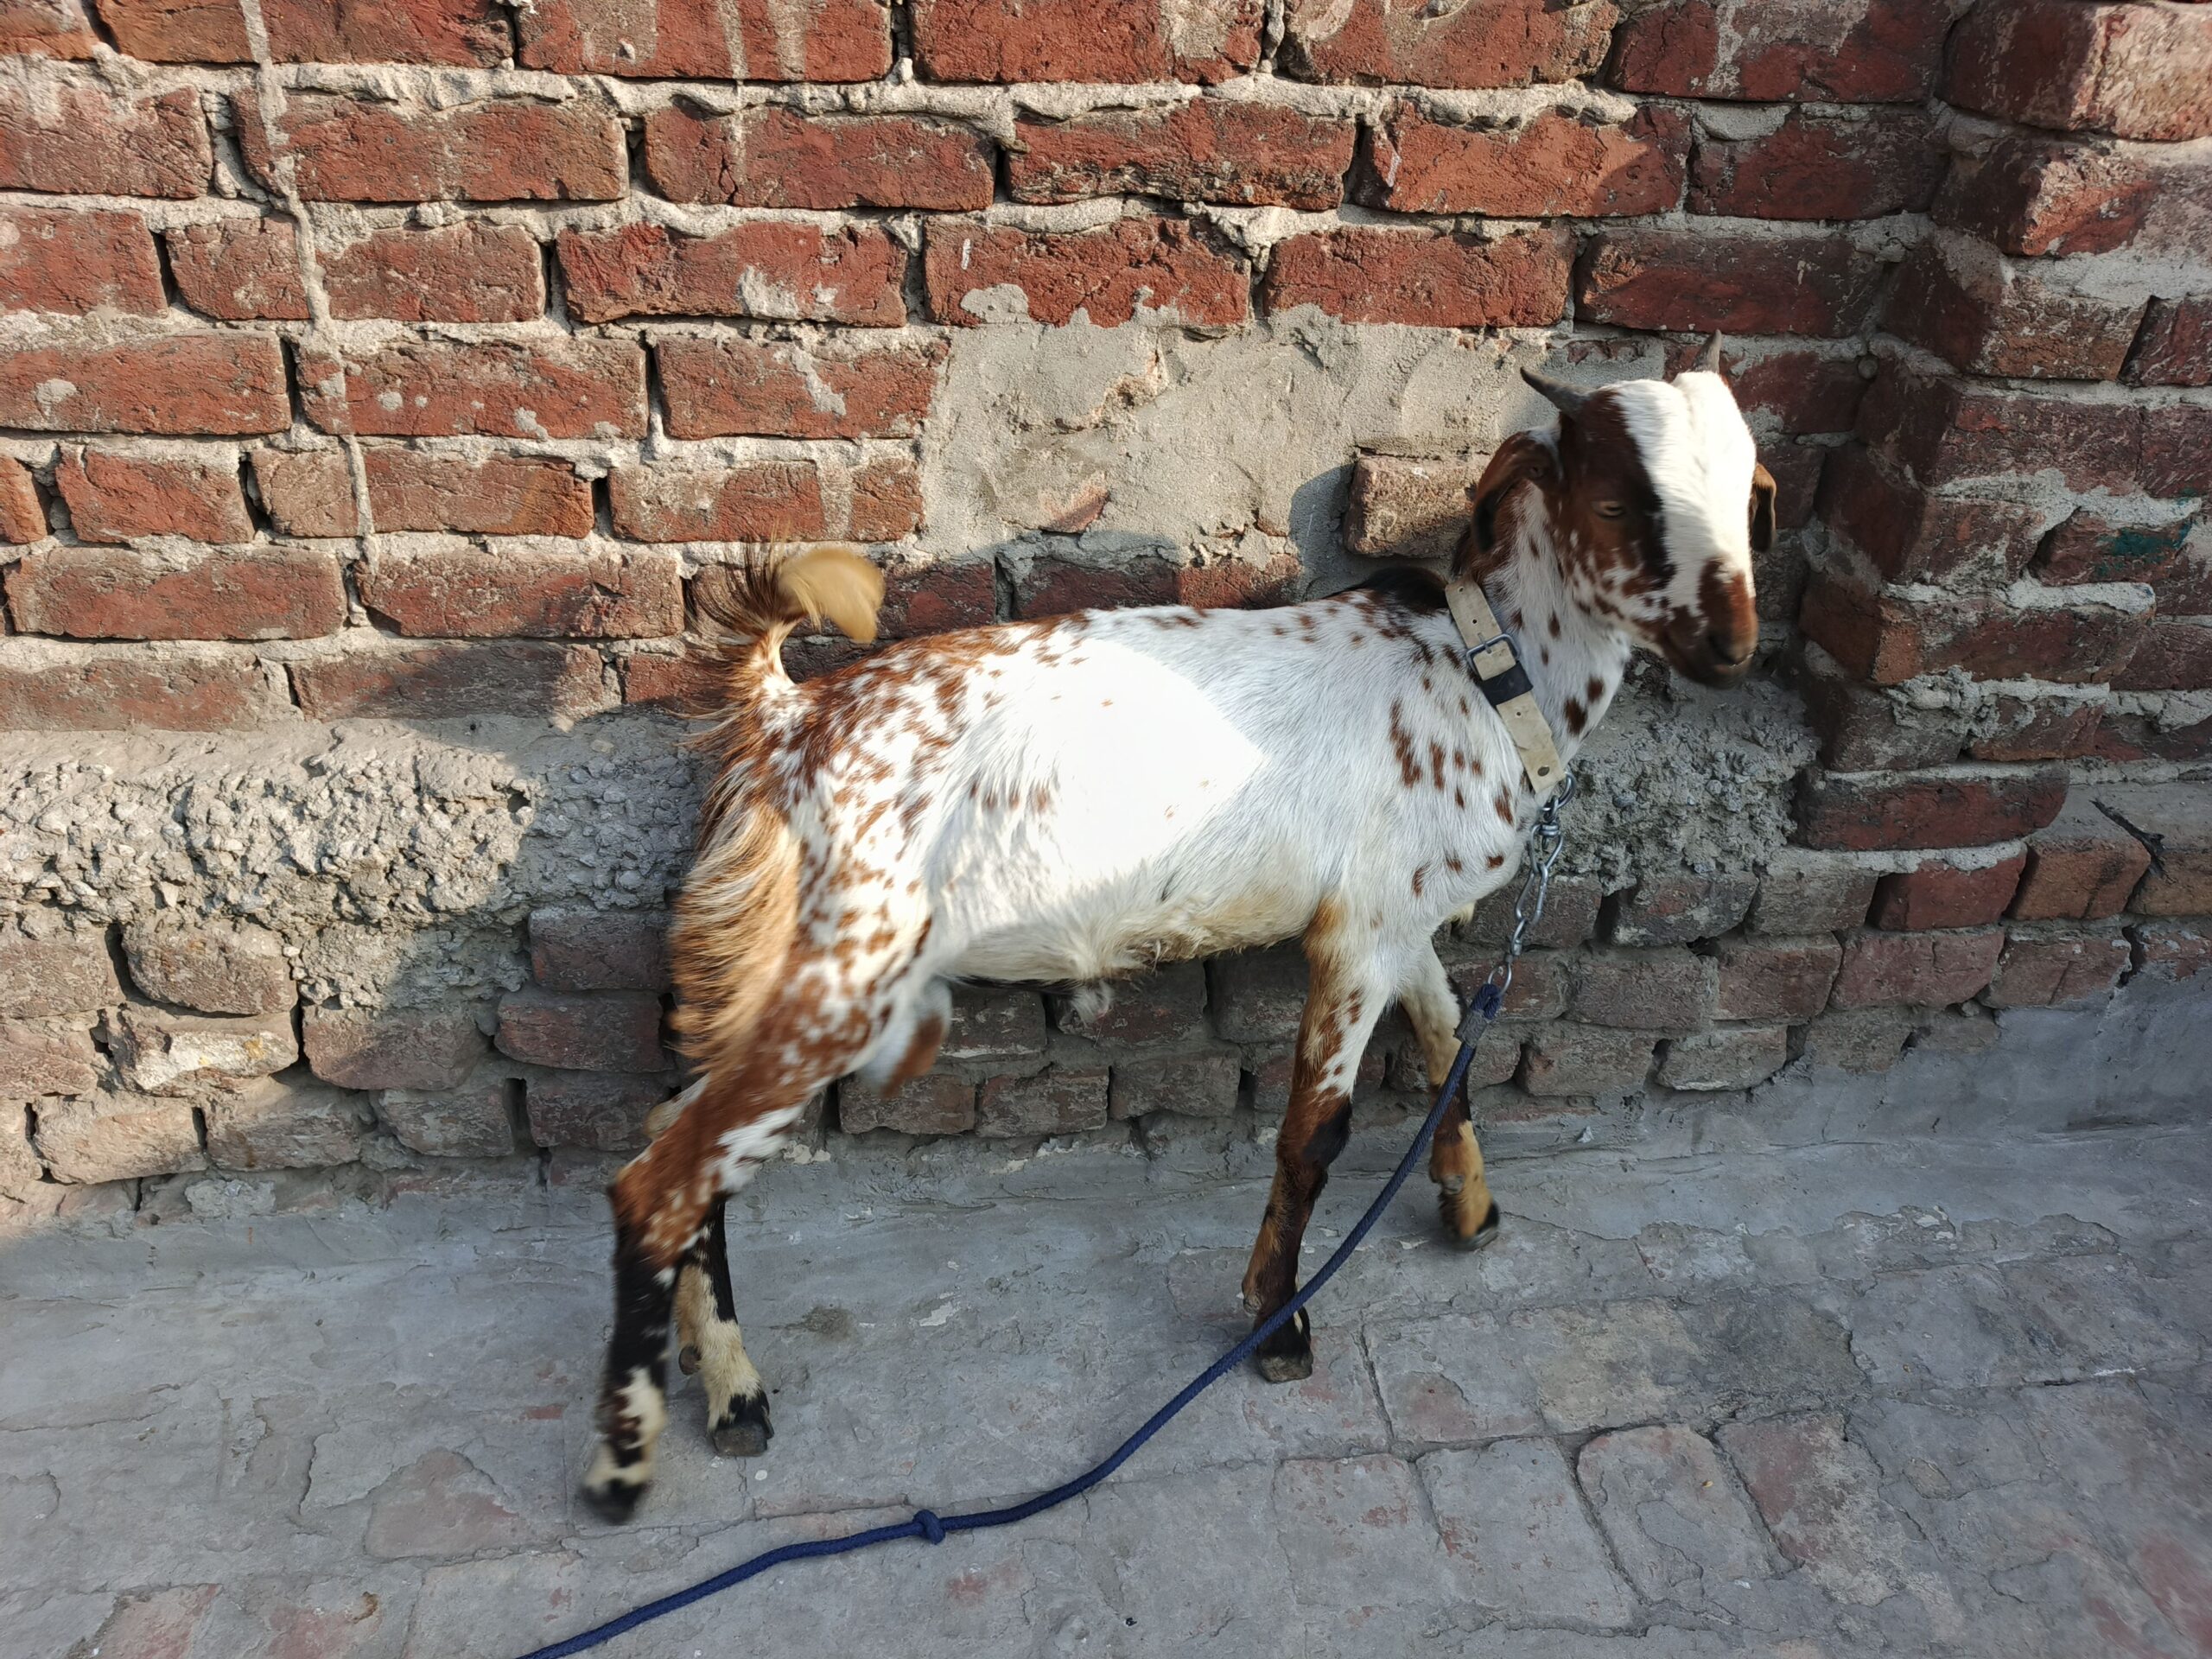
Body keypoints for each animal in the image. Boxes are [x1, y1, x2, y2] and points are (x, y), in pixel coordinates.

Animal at [580, 349, 1779, 1519]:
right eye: (1618, 503)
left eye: (1747, 497)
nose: (1734, 646)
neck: (1486, 674)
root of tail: (784, 718)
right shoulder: (1356, 939)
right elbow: (1315, 1136)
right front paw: (1278, 1323)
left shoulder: (1394, 914)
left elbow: (1449, 1039)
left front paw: (1470, 1202)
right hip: (847, 966)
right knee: (659, 1176)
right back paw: (629, 1456)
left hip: (783, 962)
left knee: (675, 1131)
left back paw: (726, 1386)